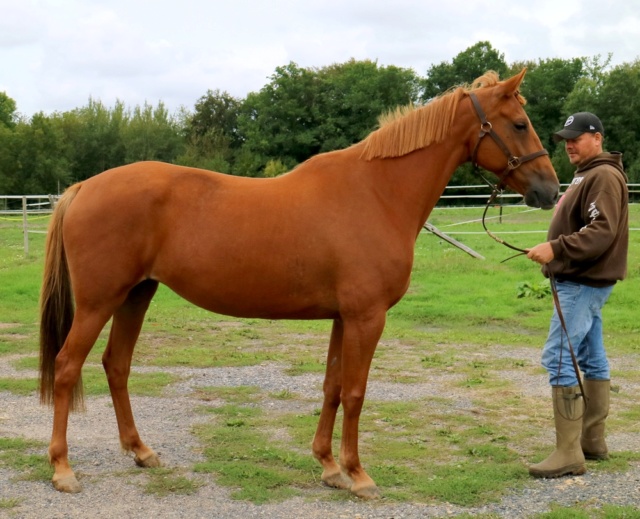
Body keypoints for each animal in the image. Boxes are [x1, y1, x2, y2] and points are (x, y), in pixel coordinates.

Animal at [41, 70, 560, 500]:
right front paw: (358, 475)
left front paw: (329, 467)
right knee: (67, 367)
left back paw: (141, 451)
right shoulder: (367, 317)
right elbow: (355, 393)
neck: (377, 192)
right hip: (99, 301)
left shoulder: (343, 318)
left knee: (116, 365)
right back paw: (63, 469)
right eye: (518, 124)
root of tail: (83, 187)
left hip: (136, 295)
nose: (550, 190)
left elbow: (332, 386)